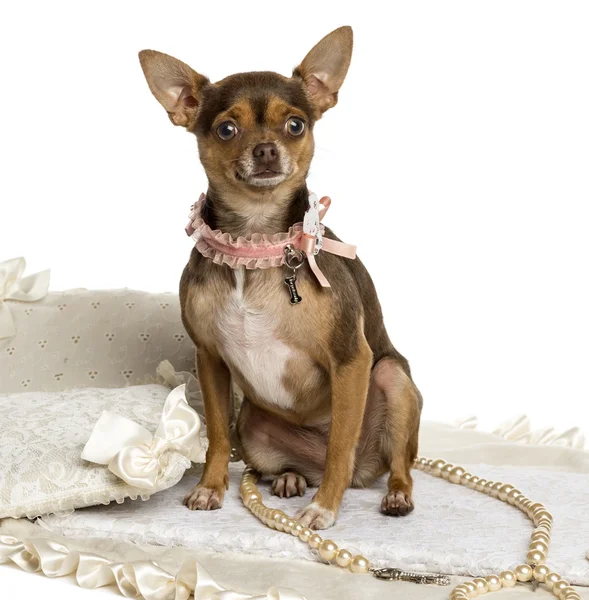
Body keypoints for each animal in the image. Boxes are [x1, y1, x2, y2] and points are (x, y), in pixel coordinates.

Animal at [140, 27, 420, 528]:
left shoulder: (352, 359)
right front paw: (210, 488)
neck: (255, 245)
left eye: (295, 125)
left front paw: (324, 509)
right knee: (288, 463)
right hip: (252, 422)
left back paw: (393, 495)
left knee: (389, 463)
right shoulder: (209, 359)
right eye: (226, 129)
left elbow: (339, 446)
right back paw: (289, 479)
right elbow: (217, 436)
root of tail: (365, 475)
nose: (267, 149)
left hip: (391, 378)